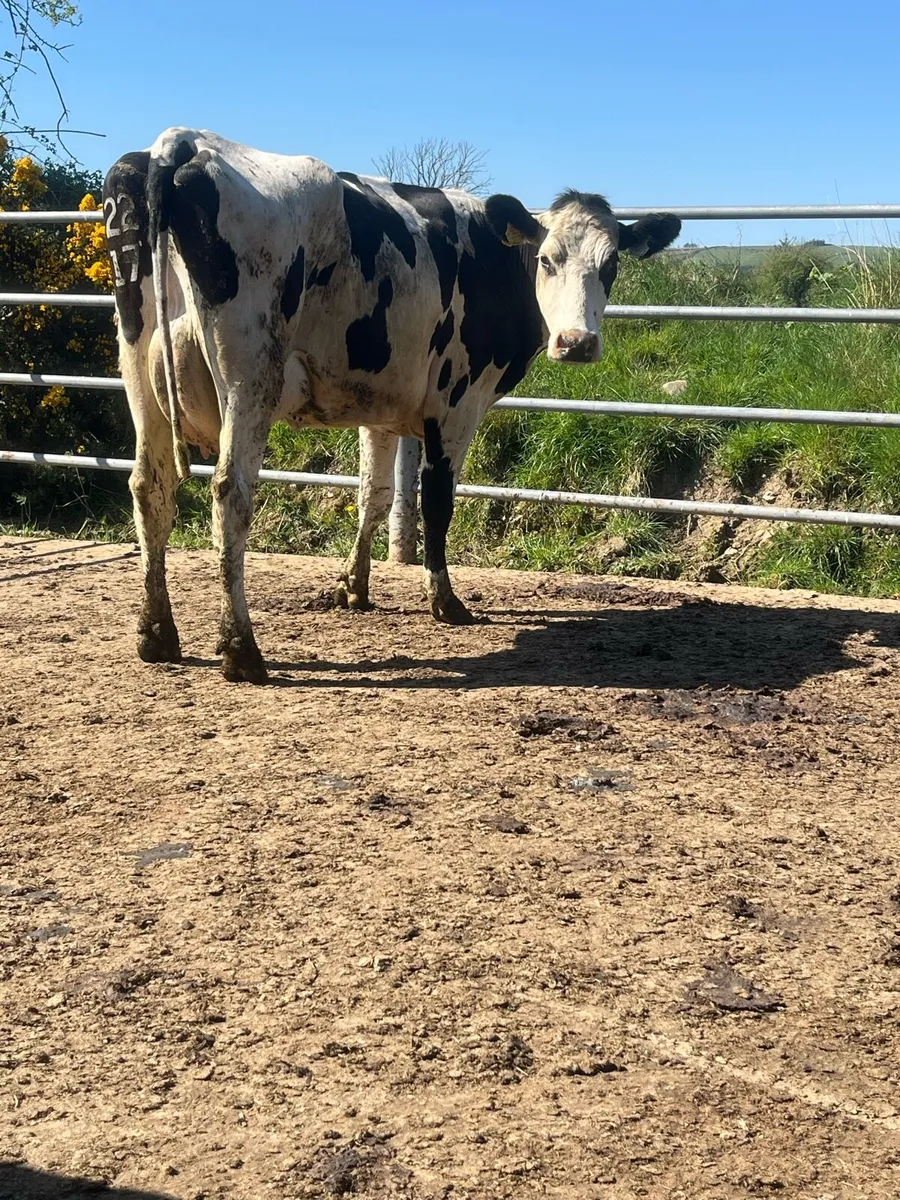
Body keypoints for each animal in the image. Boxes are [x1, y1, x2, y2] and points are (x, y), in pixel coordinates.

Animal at [103, 128, 680, 684]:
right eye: (546, 259)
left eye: (611, 264)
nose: (577, 342)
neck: (493, 259)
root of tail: (183, 143)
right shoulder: (456, 403)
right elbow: (437, 503)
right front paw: (445, 601)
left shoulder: (379, 406)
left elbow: (374, 496)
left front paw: (352, 587)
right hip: (251, 375)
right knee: (231, 494)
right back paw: (241, 650)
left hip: (138, 368)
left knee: (150, 487)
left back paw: (156, 634)